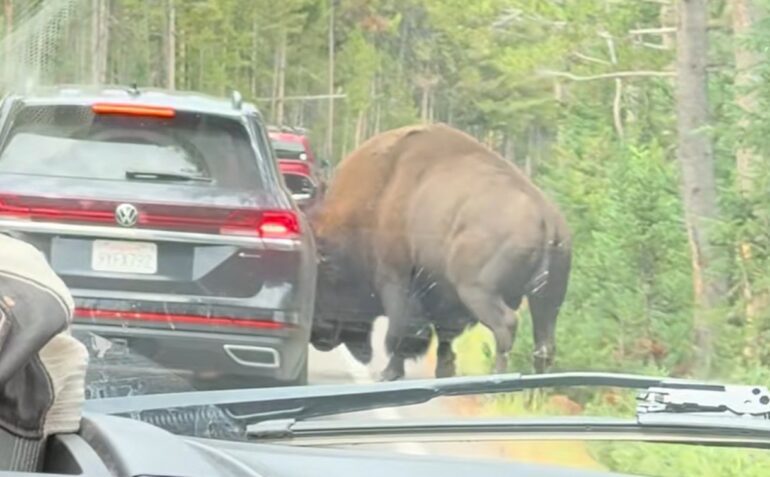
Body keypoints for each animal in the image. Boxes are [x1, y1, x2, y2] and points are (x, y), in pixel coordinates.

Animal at [308, 123, 571, 381]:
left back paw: (497, 380)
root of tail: (546, 216)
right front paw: (444, 370)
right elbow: (444, 335)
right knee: (545, 343)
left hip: (478, 291)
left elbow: (402, 331)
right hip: (548, 299)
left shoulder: (395, 281)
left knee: (505, 325)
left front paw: (389, 373)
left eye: (324, 281)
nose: (317, 337)